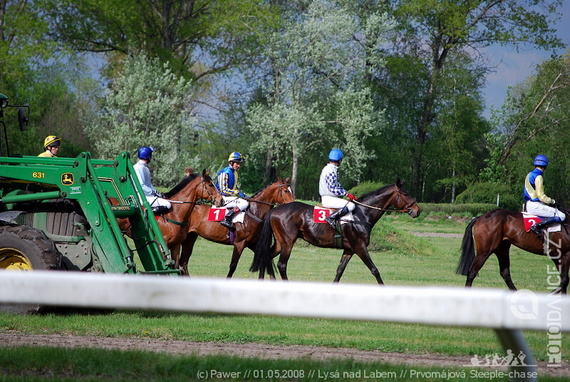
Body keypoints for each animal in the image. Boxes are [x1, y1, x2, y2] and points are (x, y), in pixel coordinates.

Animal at [247, 179, 418, 284]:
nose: (417, 210)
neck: (361, 214)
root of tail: (276, 209)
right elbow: (375, 270)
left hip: (280, 243)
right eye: (405, 193)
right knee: (281, 264)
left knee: (266, 256)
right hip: (288, 243)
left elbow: (339, 270)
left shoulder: (349, 249)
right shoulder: (360, 247)